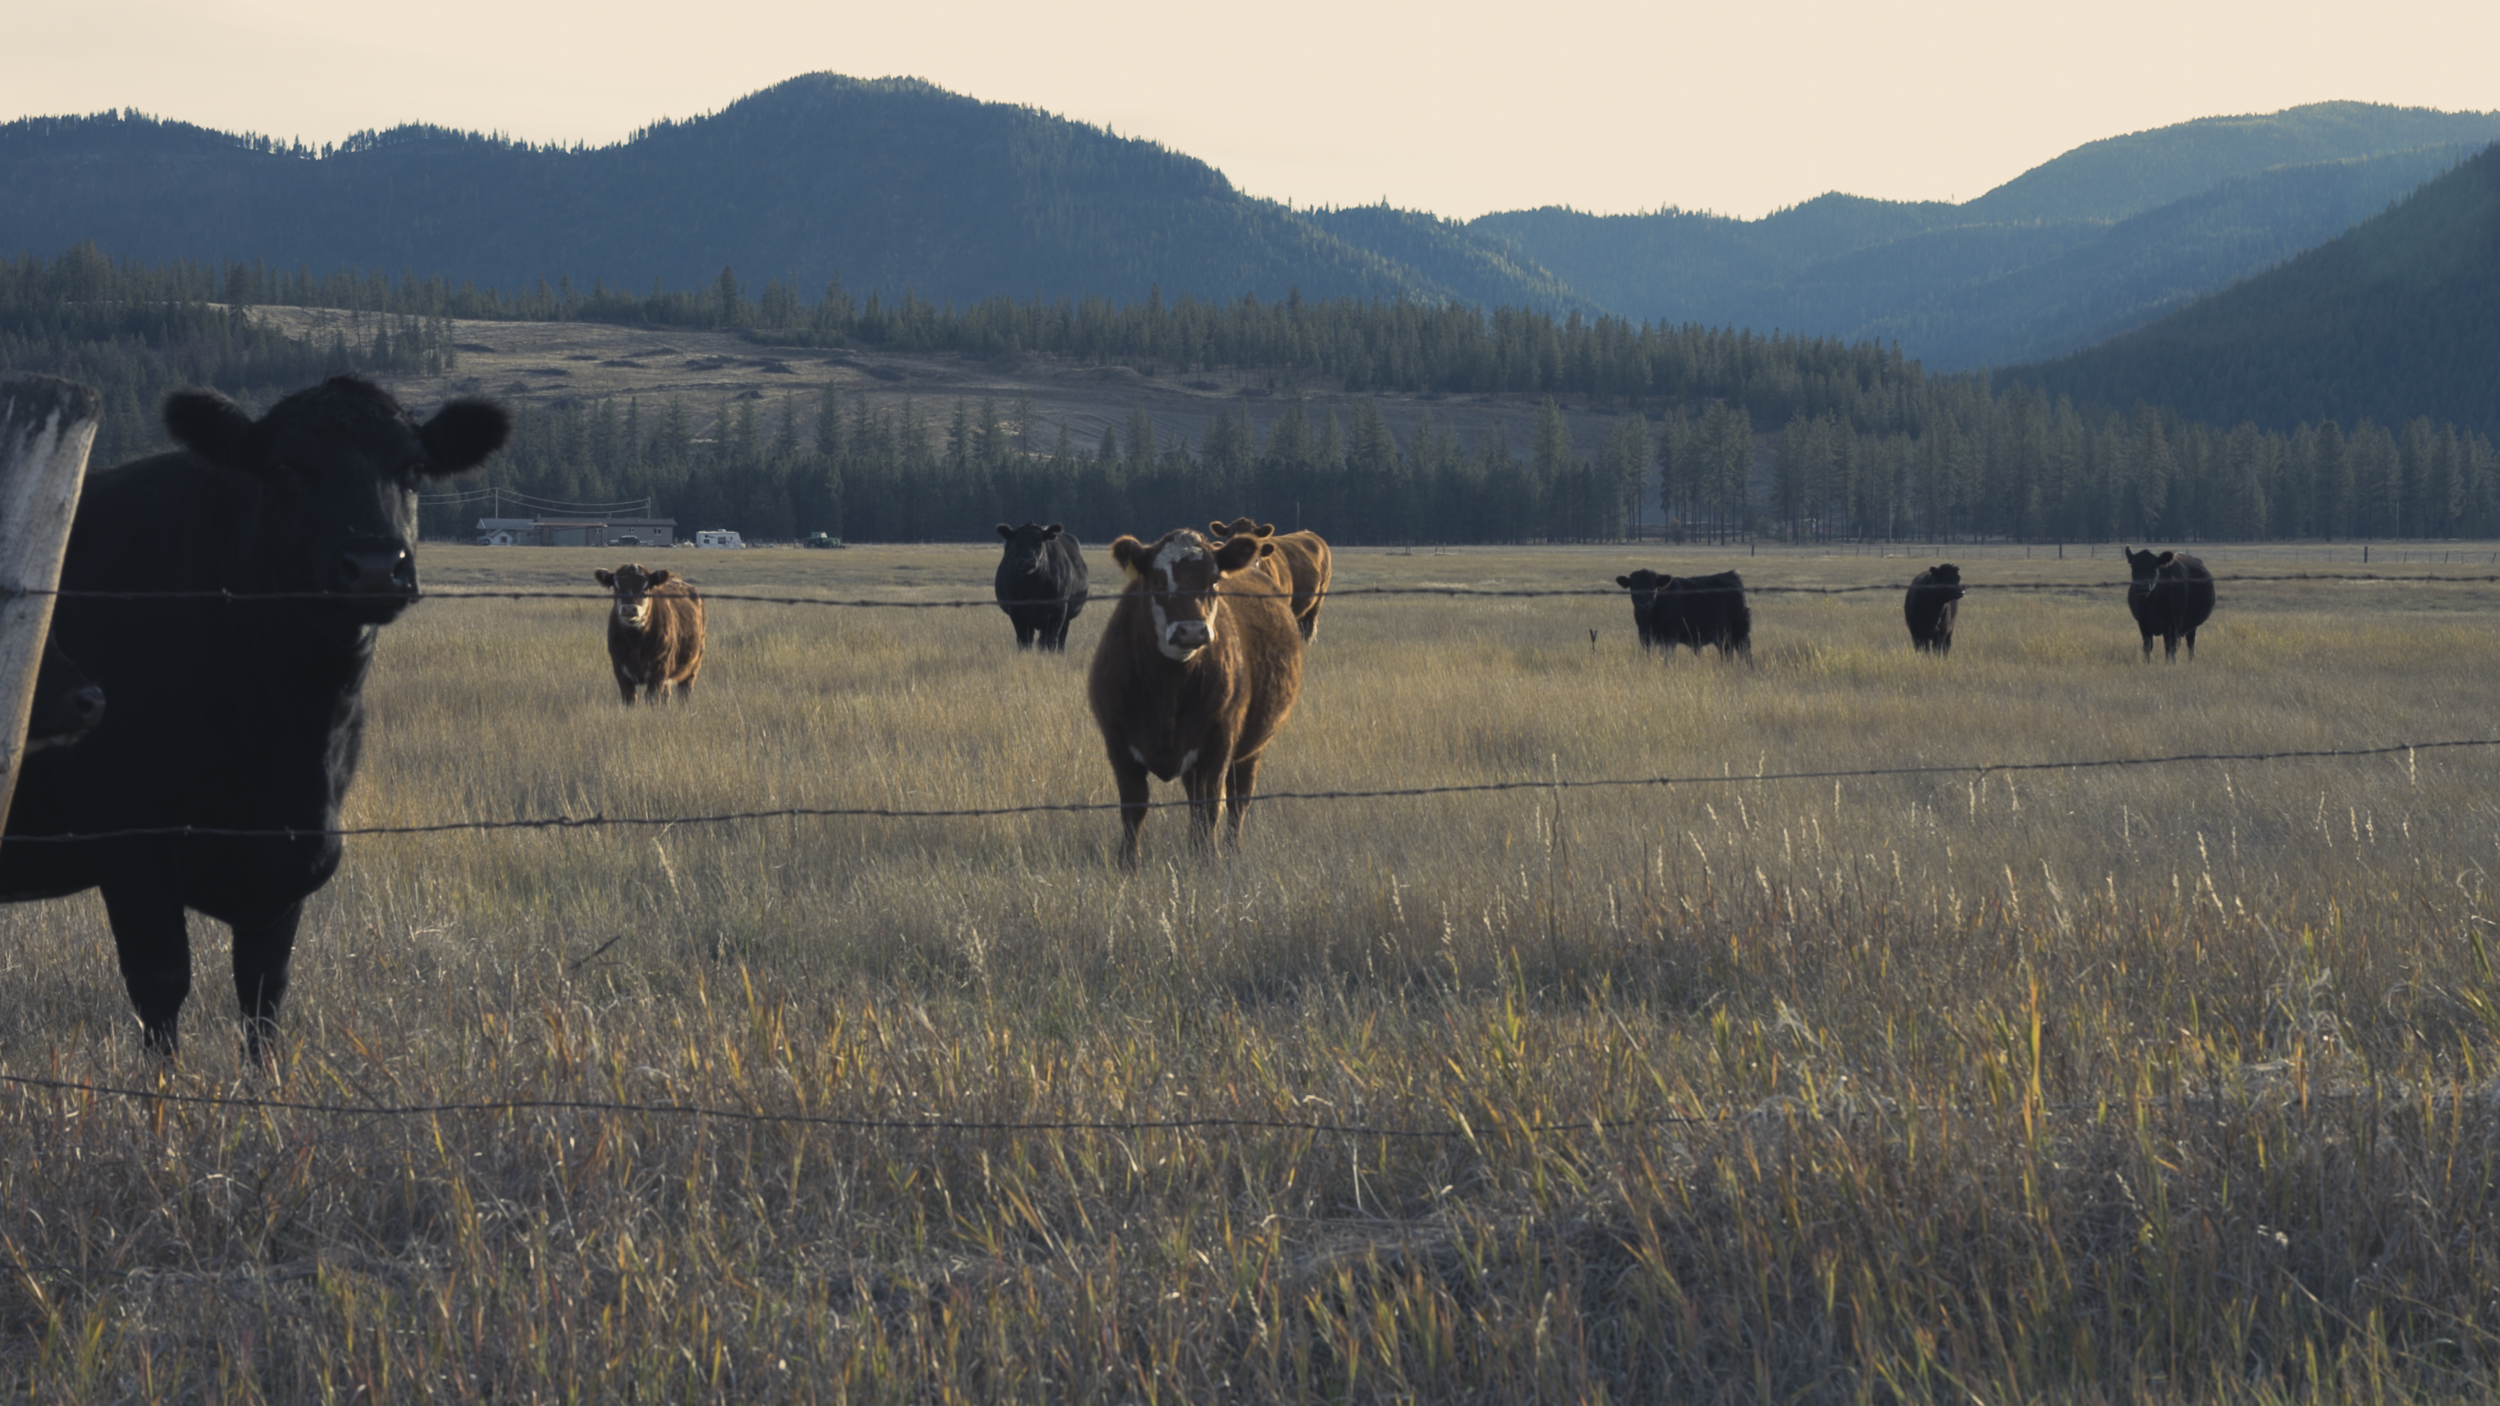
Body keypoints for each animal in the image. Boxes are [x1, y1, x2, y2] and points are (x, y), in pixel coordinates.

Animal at [0, 376, 509, 1061]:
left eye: (414, 469)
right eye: (286, 469)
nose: (376, 566)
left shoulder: (292, 859)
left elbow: (264, 991)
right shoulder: (129, 841)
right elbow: (161, 986)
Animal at [592, 564, 705, 702]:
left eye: (645, 588)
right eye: (617, 588)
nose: (629, 608)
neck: (635, 642)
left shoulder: (660, 670)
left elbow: (652, 698)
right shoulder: (620, 669)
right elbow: (630, 698)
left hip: (693, 666)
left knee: (684, 693)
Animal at [993, 521, 1089, 650]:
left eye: (1039, 541)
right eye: (1017, 541)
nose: (1027, 561)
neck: (1033, 587)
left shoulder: (1058, 610)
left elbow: (1049, 641)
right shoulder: (1016, 611)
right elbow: (1024, 640)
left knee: (1061, 639)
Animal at [1088, 528, 1303, 869]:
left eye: (1213, 580)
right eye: (1157, 579)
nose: (1191, 631)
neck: (1167, 690)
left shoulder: (1219, 740)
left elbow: (1210, 805)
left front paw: (1207, 859)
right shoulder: (1117, 740)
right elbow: (1133, 806)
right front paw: (1129, 862)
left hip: (1251, 750)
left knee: (1238, 799)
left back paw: (1231, 848)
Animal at [1615, 568, 1752, 662]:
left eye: (1653, 587)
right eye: (1633, 587)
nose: (1643, 606)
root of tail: (1731, 574)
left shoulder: (1670, 636)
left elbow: (1667, 657)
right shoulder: (1644, 635)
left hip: (1740, 630)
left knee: (1745, 652)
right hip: (1725, 636)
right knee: (1727, 653)